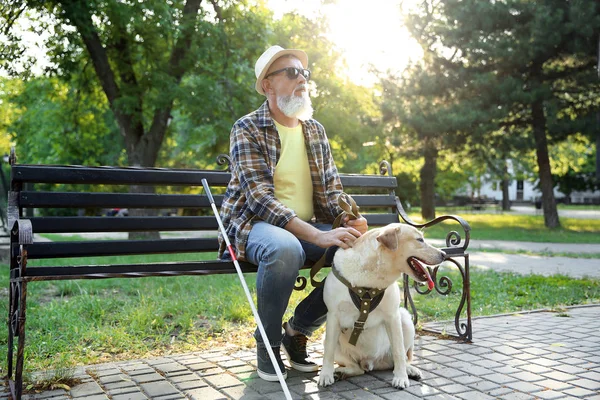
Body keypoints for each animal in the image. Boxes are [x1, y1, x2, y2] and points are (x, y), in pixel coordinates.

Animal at [318, 223, 446, 390]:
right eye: (420, 240)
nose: (444, 254)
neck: (371, 275)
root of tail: (370, 362)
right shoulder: (333, 316)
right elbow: (328, 351)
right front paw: (325, 374)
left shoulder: (393, 316)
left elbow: (399, 352)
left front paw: (401, 378)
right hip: (330, 340)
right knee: (357, 368)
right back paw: (340, 372)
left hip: (405, 318)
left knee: (401, 358)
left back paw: (409, 370)